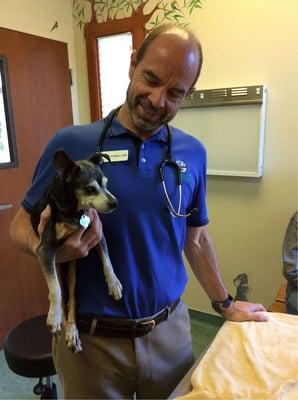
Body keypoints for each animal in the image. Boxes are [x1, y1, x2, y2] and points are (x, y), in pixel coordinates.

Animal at [31, 150, 122, 354]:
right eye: (89, 188)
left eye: (106, 183)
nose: (114, 203)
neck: (74, 211)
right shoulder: (45, 250)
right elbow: (55, 289)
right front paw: (53, 317)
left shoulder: (97, 235)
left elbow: (108, 261)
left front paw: (113, 284)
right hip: (56, 266)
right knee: (60, 293)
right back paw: (60, 320)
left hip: (72, 275)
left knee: (71, 300)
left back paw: (72, 332)